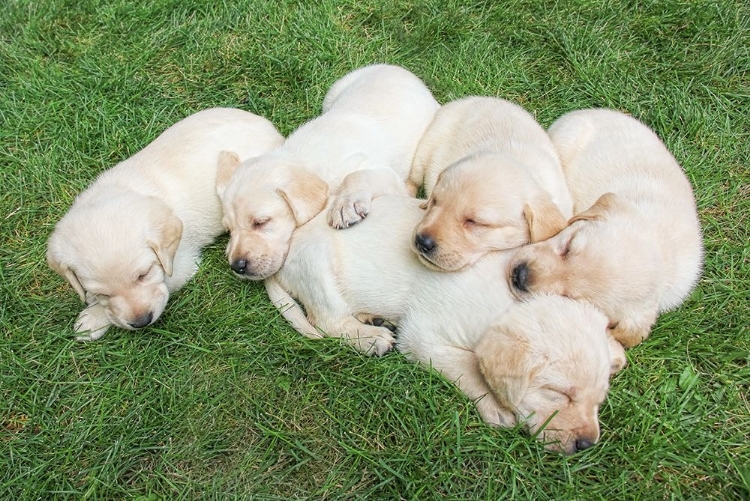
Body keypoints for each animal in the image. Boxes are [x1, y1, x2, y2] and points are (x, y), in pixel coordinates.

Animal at [47, 106, 286, 340]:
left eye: (143, 275)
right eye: (103, 293)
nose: (141, 321)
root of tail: (271, 129)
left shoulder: (180, 264)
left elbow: (164, 284)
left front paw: (92, 319)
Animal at [217, 63, 440, 280]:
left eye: (261, 222)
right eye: (229, 230)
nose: (237, 266)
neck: (305, 158)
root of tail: (396, 68)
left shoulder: (382, 171)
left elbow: (356, 175)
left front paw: (345, 205)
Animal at [264, 193, 628, 452]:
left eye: (598, 400)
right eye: (558, 393)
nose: (586, 445)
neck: (507, 305)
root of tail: (284, 258)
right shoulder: (423, 335)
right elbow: (466, 364)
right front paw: (494, 406)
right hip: (320, 272)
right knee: (327, 321)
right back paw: (369, 337)